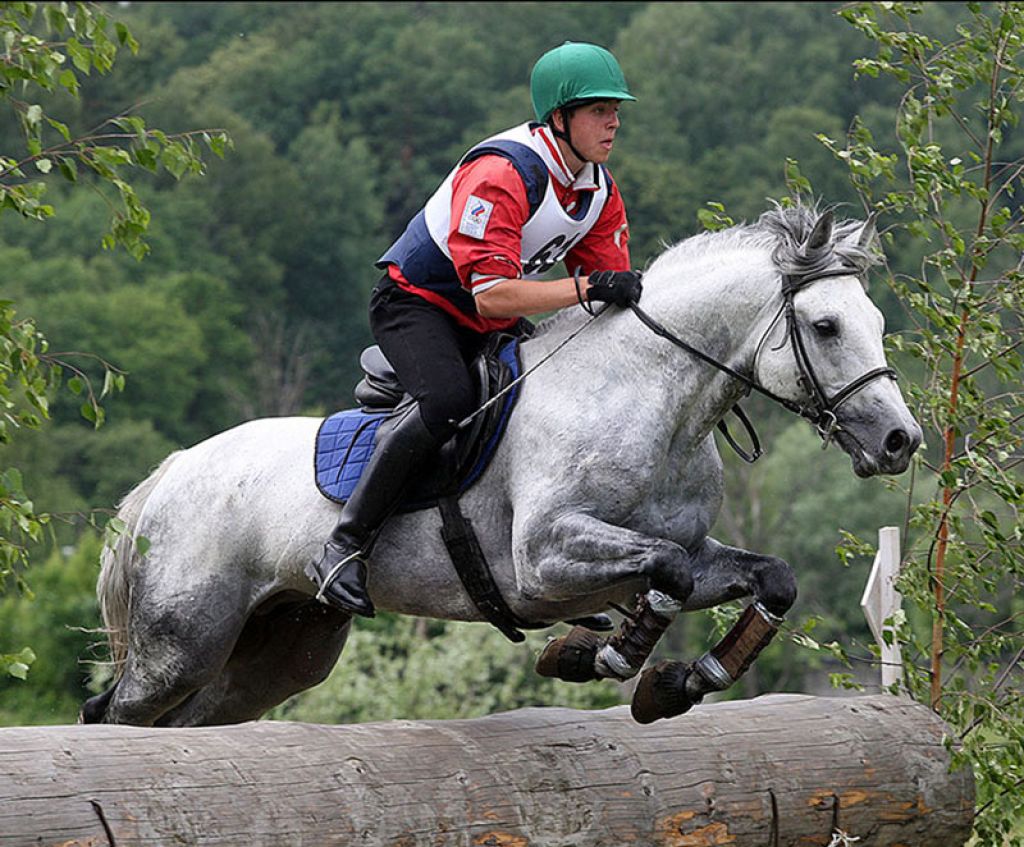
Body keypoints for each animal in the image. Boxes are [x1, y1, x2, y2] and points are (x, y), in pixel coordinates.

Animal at [81, 205, 921, 729]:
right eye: (826, 325)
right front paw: (598, 655)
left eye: (876, 320)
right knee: (113, 715)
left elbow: (763, 576)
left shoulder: (695, 545)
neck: (652, 401)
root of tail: (168, 476)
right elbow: (668, 573)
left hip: (280, 651)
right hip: (182, 640)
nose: (900, 441)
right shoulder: (542, 559)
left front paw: (682, 681)